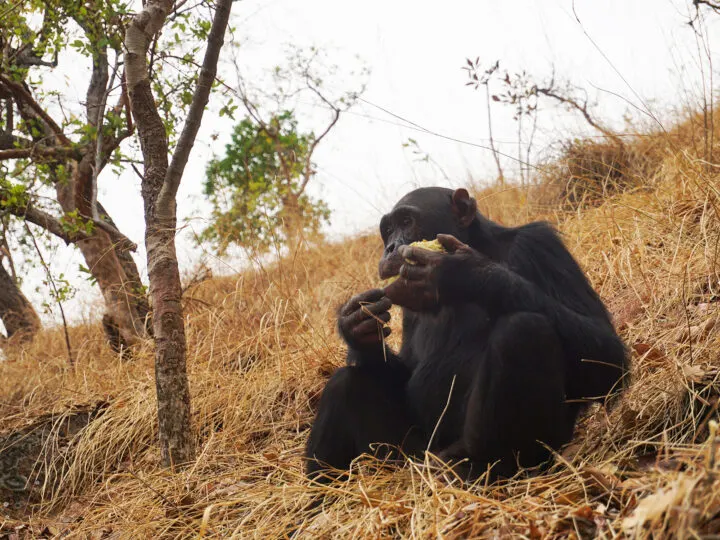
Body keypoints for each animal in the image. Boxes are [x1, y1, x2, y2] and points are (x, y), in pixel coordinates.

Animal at [306, 187, 628, 480]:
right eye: (387, 230)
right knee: (344, 382)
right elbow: (407, 369)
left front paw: (460, 271)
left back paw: (476, 467)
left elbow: (607, 357)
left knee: (523, 329)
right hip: (409, 456)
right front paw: (356, 326)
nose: (391, 246)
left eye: (407, 221)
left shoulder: (540, 245)